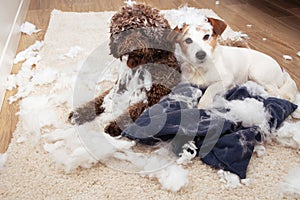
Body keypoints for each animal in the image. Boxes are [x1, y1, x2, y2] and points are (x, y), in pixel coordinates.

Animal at [169, 17, 298, 108]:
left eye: (206, 36)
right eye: (188, 40)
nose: (201, 54)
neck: (201, 68)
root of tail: (281, 71)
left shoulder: (227, 79)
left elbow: (211, 87)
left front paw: (204, 102)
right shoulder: (185, 81)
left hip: (256, 73)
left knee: (277, 93)